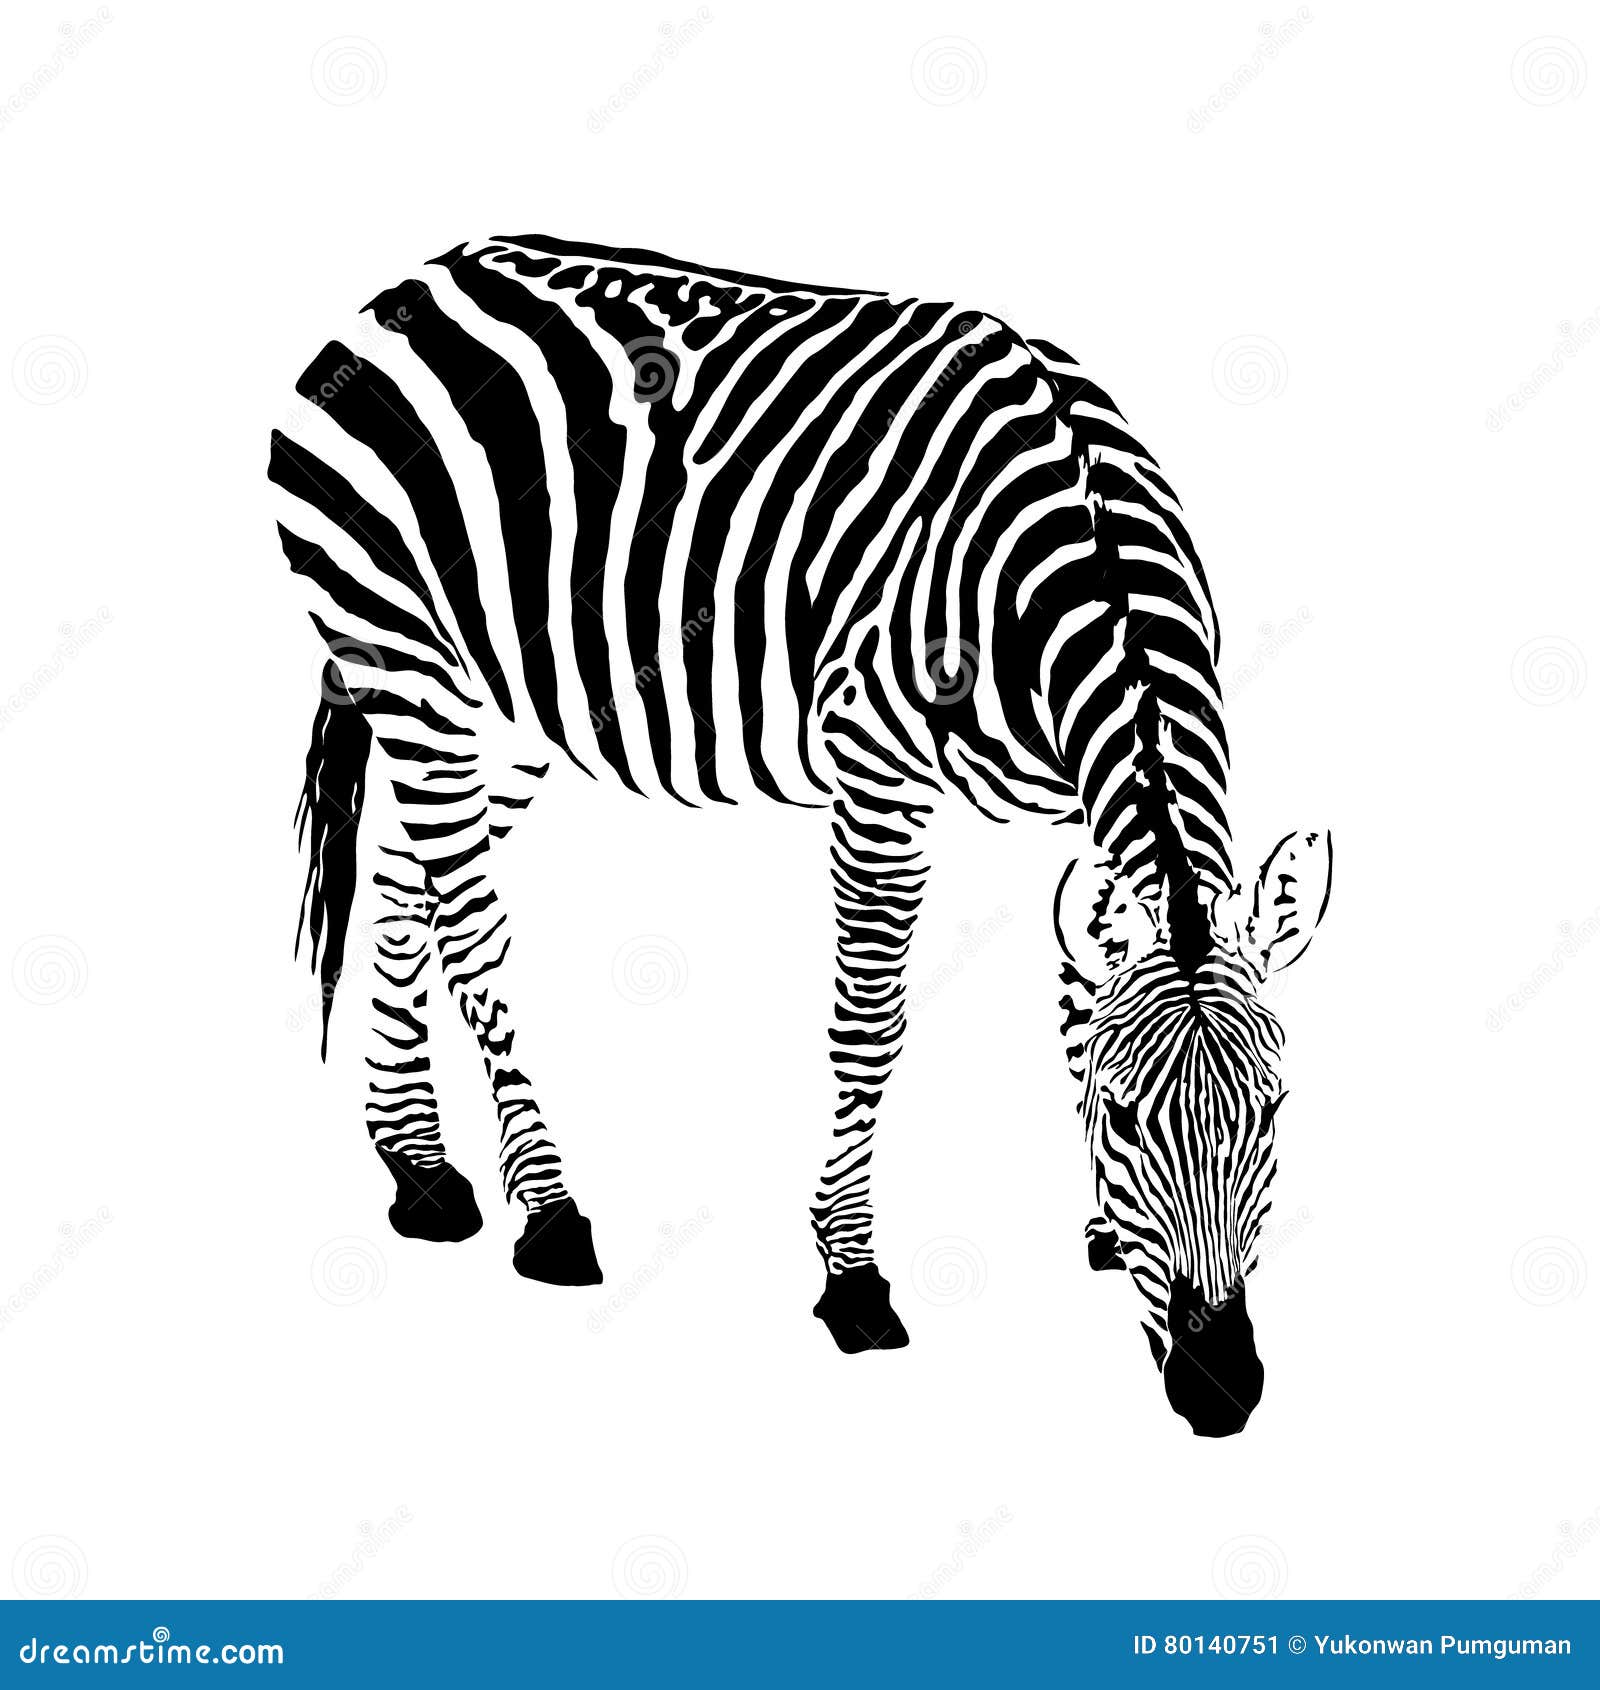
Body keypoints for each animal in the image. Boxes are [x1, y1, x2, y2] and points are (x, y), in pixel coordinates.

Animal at [267, 232, 1331, 1435]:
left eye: (1274, 1111)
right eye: (1125, 1118)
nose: (1220, 1390)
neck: (1076, 550)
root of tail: (408, 279)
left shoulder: (1076, 807)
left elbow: (1072, 1004)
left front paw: (1099, 1227)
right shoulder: (875, 769)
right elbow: (870, 1027)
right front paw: (852, 1277)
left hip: (497, 706)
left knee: (412, 888)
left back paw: (420, 1170)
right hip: (402, 656)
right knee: (470, 922)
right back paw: (547, 1212)